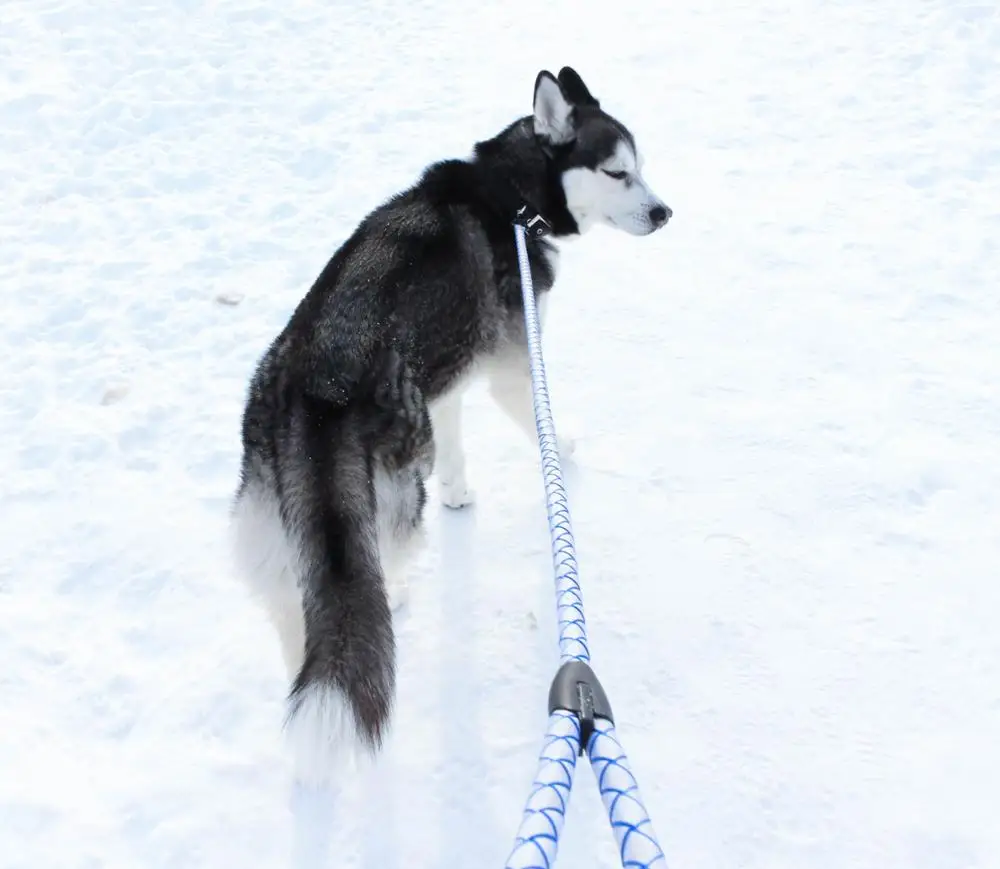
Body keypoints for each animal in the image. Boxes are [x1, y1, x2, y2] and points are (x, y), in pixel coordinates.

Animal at [229, 64, 672, 776]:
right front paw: (564, 451)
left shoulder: (444, 385)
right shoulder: (515, 367)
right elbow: (542, 424)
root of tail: (316, 387)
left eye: (642, 168)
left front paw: (461, 494)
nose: (664, 212)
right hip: (396, 501)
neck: (512, 202)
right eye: (616, 173)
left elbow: (457, 446)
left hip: (279, 527)